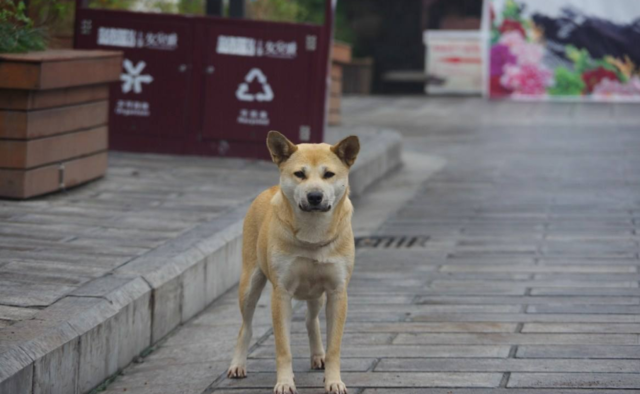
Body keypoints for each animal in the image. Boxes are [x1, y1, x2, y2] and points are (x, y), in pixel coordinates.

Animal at [229, 132, 360, 394]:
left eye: (328, 174)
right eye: (299, 174)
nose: (315, 196)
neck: (313, 234)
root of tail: (269, 189)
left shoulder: (337, 291)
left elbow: (334, 347)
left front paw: (333, 381)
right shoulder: (281, 293)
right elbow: (283, 347)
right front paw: (285, 382)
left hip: (316, 292)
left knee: (311, 320)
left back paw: (318, 355)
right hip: (250, 282)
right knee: (246, 326)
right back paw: (238, 364)